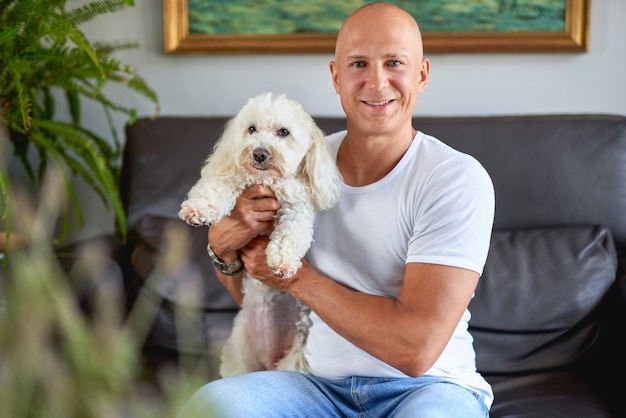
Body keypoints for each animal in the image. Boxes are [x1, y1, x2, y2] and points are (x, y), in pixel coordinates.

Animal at [178, 92, 338, 378]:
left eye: (283, 132)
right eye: (251, 129)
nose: (260, 153)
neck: (268, 181)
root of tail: (268, 361)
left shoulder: (297, 211)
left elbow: (290, 236)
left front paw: (282, 263)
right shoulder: (233, 179)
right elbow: (214, 188)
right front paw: (198, 210)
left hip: (292, 360)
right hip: (239, 356)